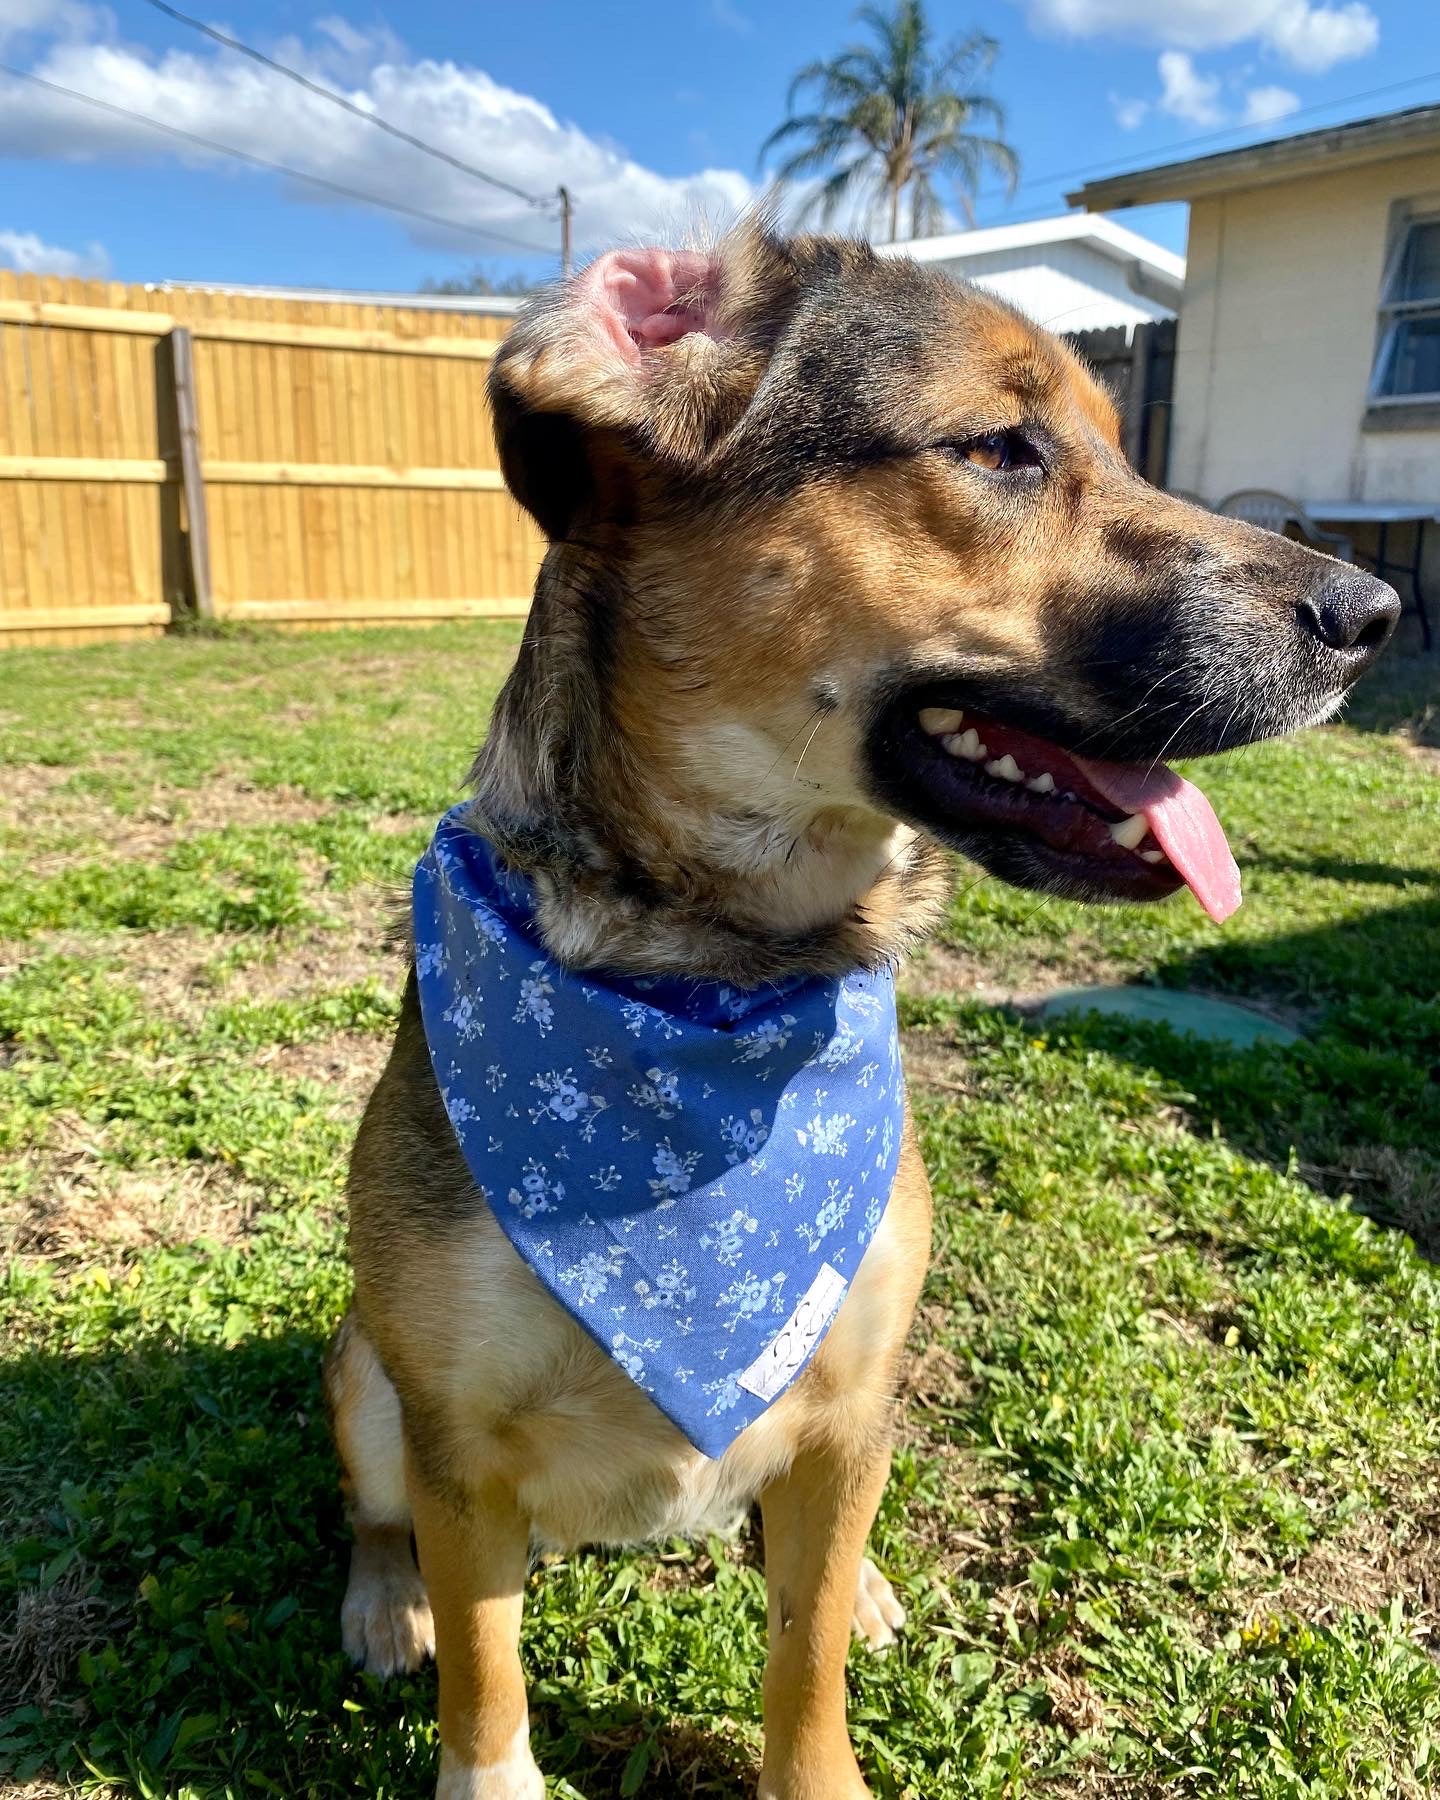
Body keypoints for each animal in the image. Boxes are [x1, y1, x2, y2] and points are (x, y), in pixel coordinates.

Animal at [324, 225, 1396, 1800]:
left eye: (1117, 448)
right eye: (1002, 448)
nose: (1376, 617)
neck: (716, 984)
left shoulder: (844, 1401)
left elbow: (804, 1653)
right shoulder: (455, 1433)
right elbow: (487, 1677)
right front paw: (469, 1715)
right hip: (362, 1374)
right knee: (380, 1512)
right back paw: (383, 1597)